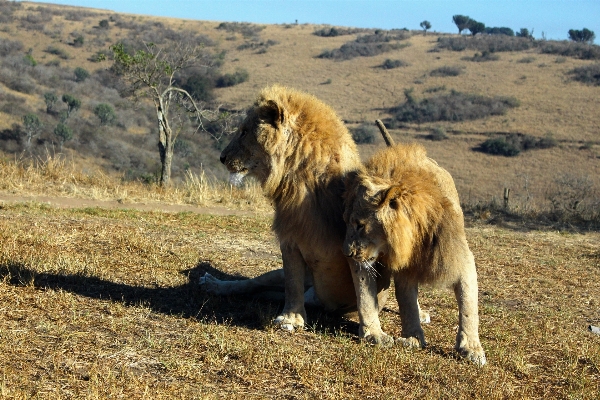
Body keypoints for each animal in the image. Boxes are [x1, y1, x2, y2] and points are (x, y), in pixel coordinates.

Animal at [199, 85, 392, 332]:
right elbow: (292, 282)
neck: (301, 183)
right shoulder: (290, 235)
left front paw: (373, 332)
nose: (222, 158)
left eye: (244, 132)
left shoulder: (360, 239)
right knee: (253, 284)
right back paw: (213, 284)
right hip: (278, 276)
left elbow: (365, 292)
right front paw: (291, 318)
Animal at [342, 144, 488, 366]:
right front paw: (412, 338)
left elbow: (468, 307)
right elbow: (406, 302)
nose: (347, 253)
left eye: (360, 225)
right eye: (347, 222)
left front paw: (471, 348)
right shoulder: (404, 268)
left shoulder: (460, 258)